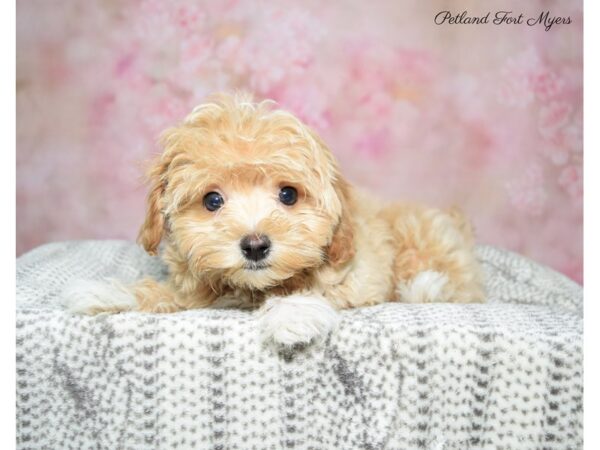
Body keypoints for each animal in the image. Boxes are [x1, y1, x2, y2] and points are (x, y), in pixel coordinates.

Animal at [68, 90, 486, 344]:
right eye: (212, 200)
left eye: (288, 194)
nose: (255, 245)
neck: (253, 288)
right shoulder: (196, 291)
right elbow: (167, 294)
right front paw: (112, 291)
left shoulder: (358, 277)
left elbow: (317, 292)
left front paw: (292, 314)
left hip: (421, 236)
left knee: (460, 287)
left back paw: (427, 286)